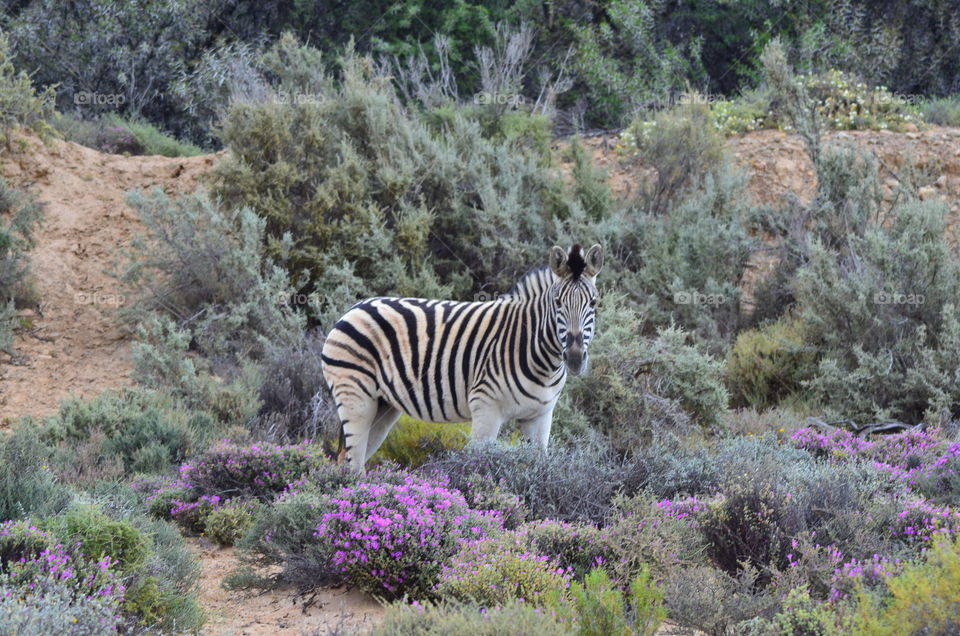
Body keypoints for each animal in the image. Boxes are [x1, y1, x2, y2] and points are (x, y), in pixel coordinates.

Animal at [322, 243, 608, 472]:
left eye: (593, 303)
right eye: (558, 302)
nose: (574, 358)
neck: (541, 357)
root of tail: (354, 308)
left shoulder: (540, 416)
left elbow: (539, 471)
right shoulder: (486, 408)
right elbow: (478, 471)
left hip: (383, 405)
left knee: (348, 461)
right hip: (356, 398)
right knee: (353, 466)